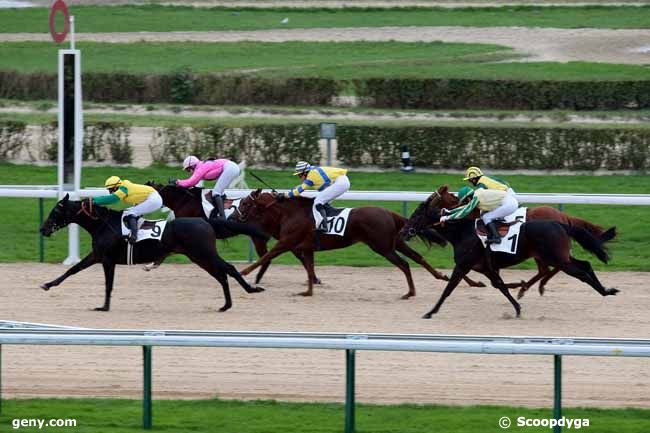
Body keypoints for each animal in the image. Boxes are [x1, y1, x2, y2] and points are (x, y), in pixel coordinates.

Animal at [39, 195, 262, 310]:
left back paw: (251, 290)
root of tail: (205, 221)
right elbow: (72, 270)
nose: (43, 229)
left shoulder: (108, 259)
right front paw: (48, 284)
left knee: (229, 269)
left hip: (203, 254)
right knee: (221, 275)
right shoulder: (97, 256)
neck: (102, 224)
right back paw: (226, 304)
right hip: (200, 257)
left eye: (56, 211)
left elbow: (108, 284)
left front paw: (104, 306)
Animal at [147, 181, 318, 286]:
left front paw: (151, 264)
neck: (185, 201)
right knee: (293, 253)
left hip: (260, 237)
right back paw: (314, 278)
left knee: (270, 257)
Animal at [235, 189, 484, 296]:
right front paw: (308, 290)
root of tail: (389, 213)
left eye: (245, 203)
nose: (235, 216)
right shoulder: (304, 247)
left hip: (382, 246)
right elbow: (309, 267)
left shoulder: (286, 242)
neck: (290, 213)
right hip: (395, 242)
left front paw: (244, 272)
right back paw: (447, 278)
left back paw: (411, 292)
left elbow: (266, 257)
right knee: (418, 258)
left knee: (404, 264)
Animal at [398, 185, 616, 318]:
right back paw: (606, 290)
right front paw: (517, 307)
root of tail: (562, 221)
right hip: (558, 256)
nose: (402, 231)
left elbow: (448, 289)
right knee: (583, 265)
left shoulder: (463, 265)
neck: (463, 231)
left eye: (416, 215)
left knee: (577, 272)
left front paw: (430, 312)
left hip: (556, 257)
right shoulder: (485, 267)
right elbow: (499, 285)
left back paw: (604, 291)